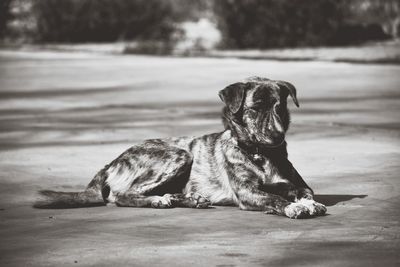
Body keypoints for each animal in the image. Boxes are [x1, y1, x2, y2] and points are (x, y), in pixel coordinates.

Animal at [34, 76, 326, 219]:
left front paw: (308, 203)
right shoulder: (247, 192)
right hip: (179, 155)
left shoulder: (294, 183)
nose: (278, 136)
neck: (260, 153)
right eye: (255, 109)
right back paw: (159, 200)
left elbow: (305, 192)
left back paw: (183, 199)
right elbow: (274, 198)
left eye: (280, 107)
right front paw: (293, 207)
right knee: (121, 196)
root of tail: (112, 163)